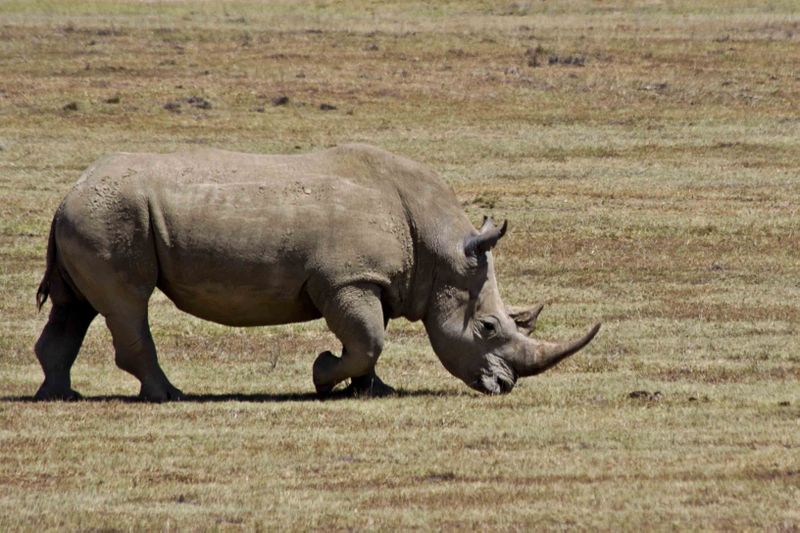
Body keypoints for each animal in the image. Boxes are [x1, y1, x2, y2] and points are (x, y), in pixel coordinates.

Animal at [34, 143, 600, 401]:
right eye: (487, 327)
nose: (504, 385)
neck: (440, 251)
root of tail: (65, 195)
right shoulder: (346, 280)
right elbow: (368, 339)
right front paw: (321, 377)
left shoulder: (374, 281)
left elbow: (371, 338)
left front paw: (372, 391)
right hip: (110, 216)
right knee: (128, 300)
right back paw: (169, 396)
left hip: (93, 218)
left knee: (77, 307)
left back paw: (60, 396)